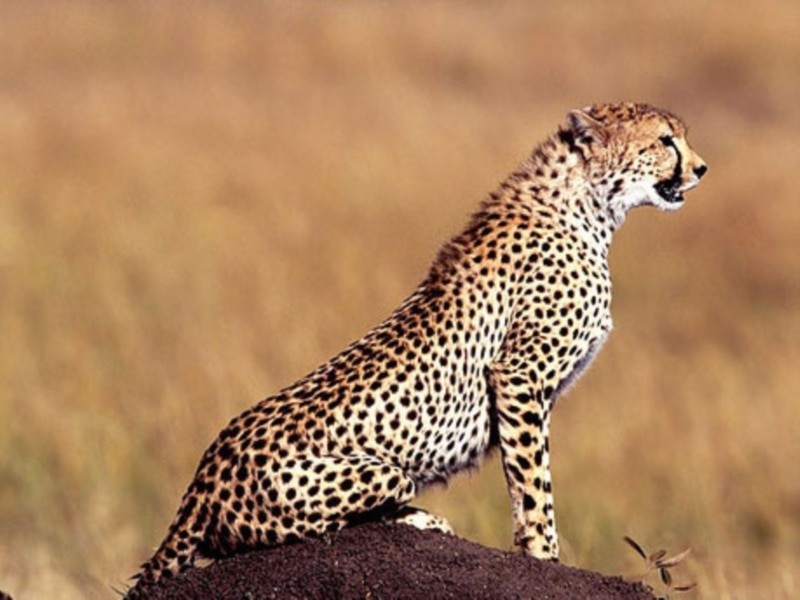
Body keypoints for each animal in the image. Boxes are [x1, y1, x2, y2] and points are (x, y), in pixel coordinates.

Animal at [128, 102, 707, 596]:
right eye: (664, 140)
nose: (701, 169)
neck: (589, 203)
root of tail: (203, 476)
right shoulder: (518, 375)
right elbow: (534, 487)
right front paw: (546, 561)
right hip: (376, 472)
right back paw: (420, 517)